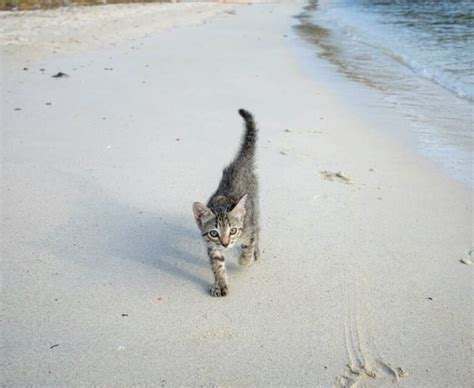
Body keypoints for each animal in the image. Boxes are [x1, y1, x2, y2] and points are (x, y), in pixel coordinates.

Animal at [192, 109, 260, 298]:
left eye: (233, 230)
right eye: (214, 233)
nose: (225, 244)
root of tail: (240, 163)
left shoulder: (248, 228)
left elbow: (249, 244)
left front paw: (245, 260)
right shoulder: (212, 245)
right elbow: (217, 264)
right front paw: (220, 284)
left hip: (255, 206)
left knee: (258, 228)